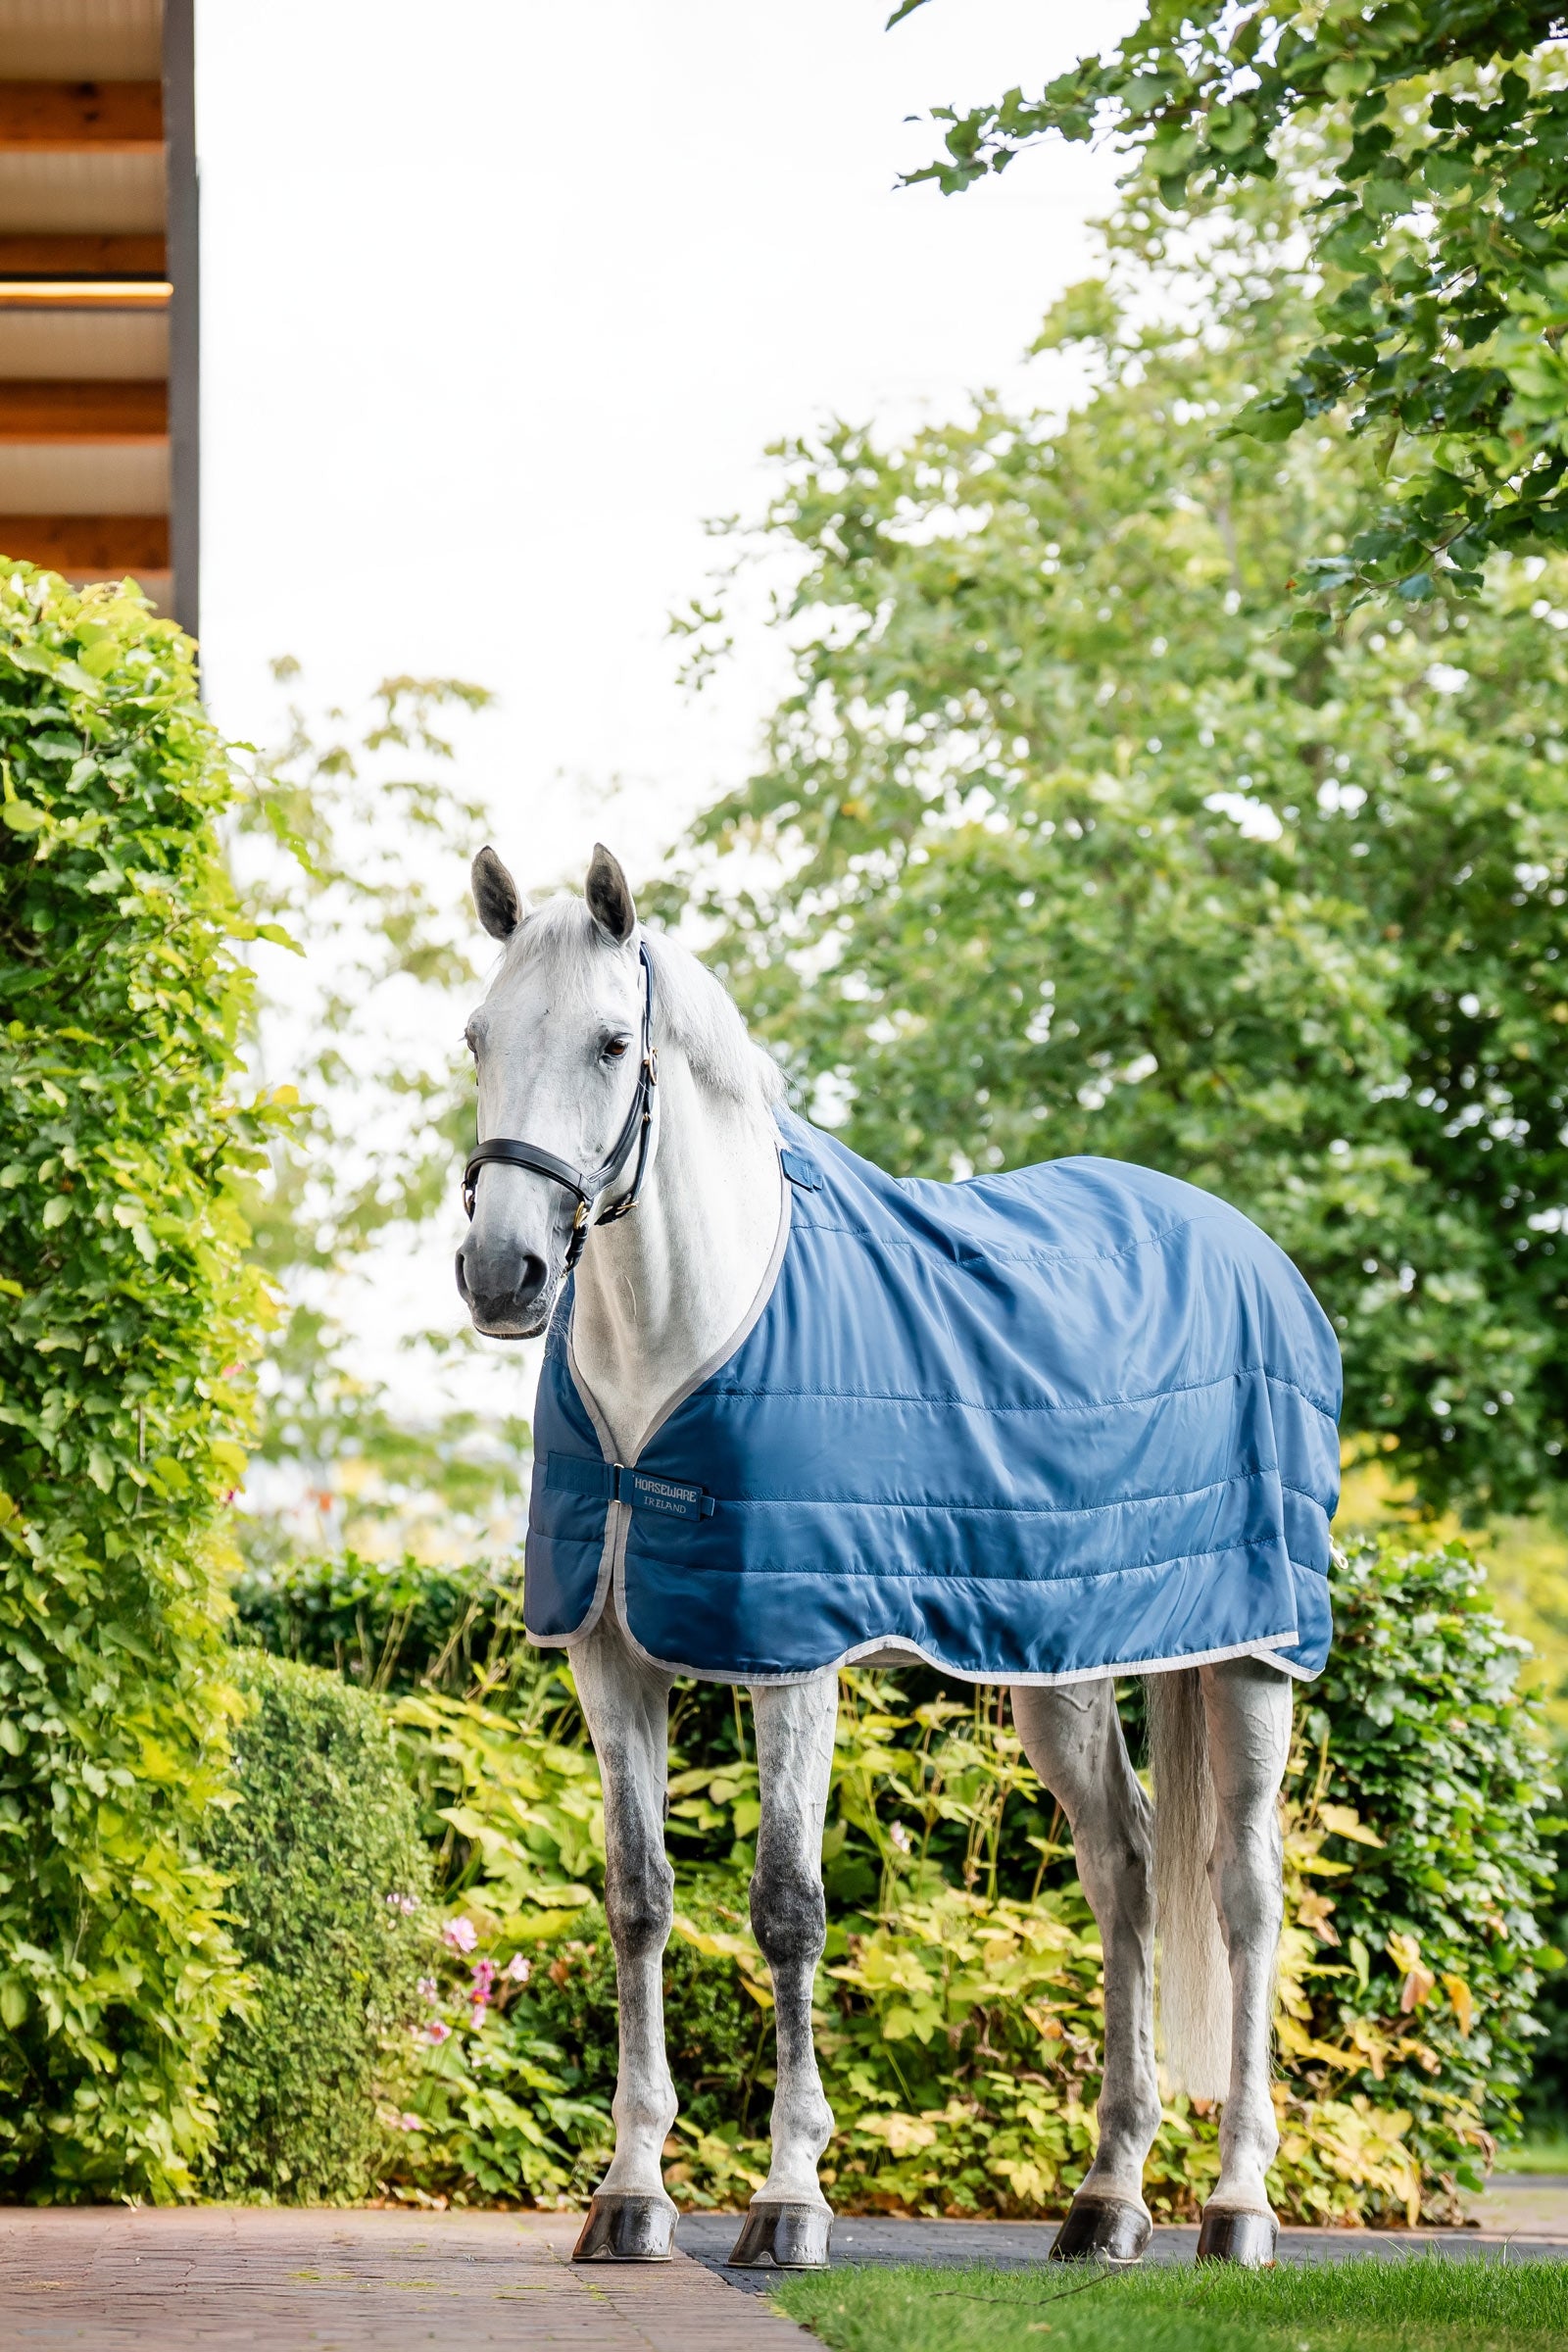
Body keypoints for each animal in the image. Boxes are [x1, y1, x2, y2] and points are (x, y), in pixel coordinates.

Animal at [454, 841, 1341, 2273]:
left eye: (610, 1044)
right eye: (479, 1037)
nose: (503, 1274)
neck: (682, 1341)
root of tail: (1255, 1253)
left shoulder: (792, 1656)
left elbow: (786, 1906)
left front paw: (788, 2201)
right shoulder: (609, 1653)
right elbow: (639, 1899)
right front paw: (631, 2196)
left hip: (1253, 1656)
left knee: (1246, 1896)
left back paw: (1236, 2209)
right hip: (1063, 1666)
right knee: (1125, 1875)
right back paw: (1105, 2201)